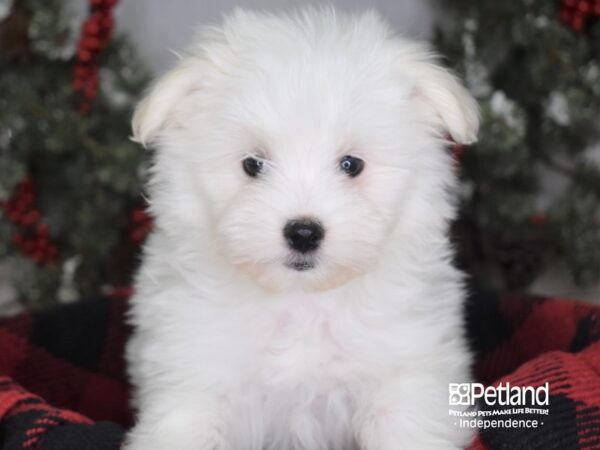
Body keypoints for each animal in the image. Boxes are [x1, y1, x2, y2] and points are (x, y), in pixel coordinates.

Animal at [125, 7, 478, 450]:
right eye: (253, 164)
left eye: (351, 165)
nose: (304, 233)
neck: (300, 301)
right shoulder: (193, 377)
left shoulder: (407, 375)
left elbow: (405, 425)